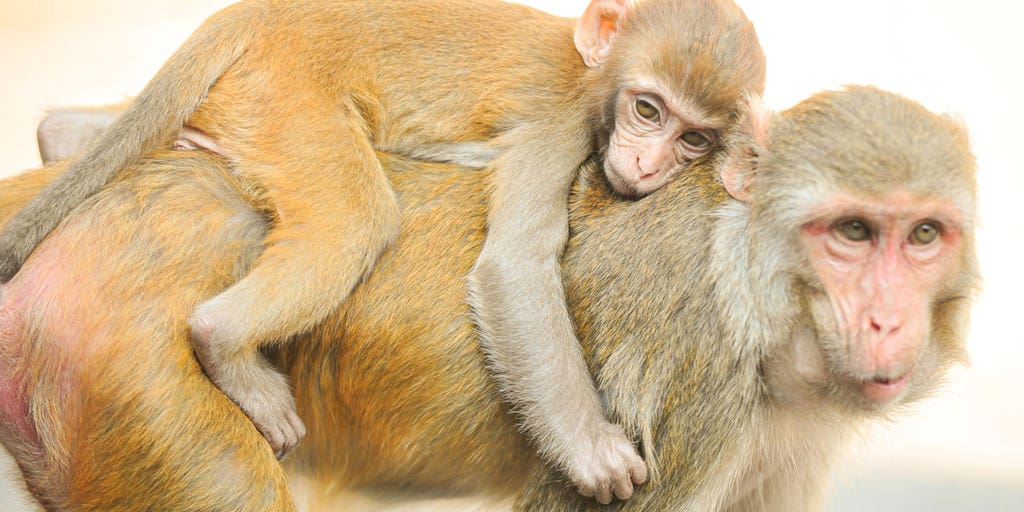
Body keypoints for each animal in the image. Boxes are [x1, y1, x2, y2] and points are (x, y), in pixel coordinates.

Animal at [0, 1, 766, 500]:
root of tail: (259, 13)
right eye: (648, 109)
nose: (647, 163)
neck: (598, 73)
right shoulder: (565, 121)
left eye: (694, 137)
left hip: (243, 101)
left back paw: (65, 139)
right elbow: (514, 264)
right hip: (289, 95)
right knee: (356, 222)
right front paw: (594, 453)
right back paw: (222, 342)